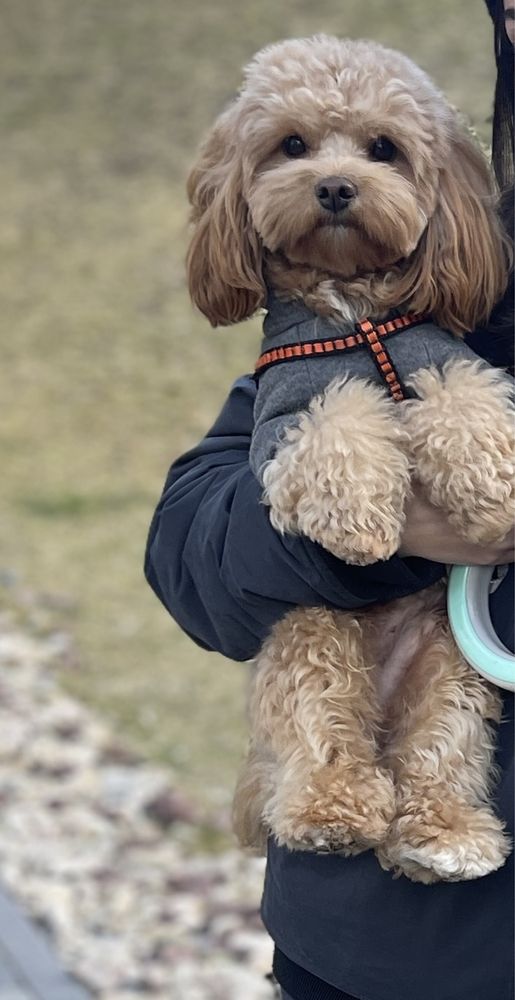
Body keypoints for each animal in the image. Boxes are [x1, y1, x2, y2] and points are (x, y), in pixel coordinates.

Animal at [184, 37, 512, 884]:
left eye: (382, 148)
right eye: (291, 145)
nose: (334, 187)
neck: (356, 315)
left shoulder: (445, 359)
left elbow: (465, 398)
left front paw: (494, 490)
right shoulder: (283, 429)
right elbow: (341, 421)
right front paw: (361, 518)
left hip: (448, 665)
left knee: (436, 756)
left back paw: (442, 838)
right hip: (309, 630)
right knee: (325, 726)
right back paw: (330, 811)